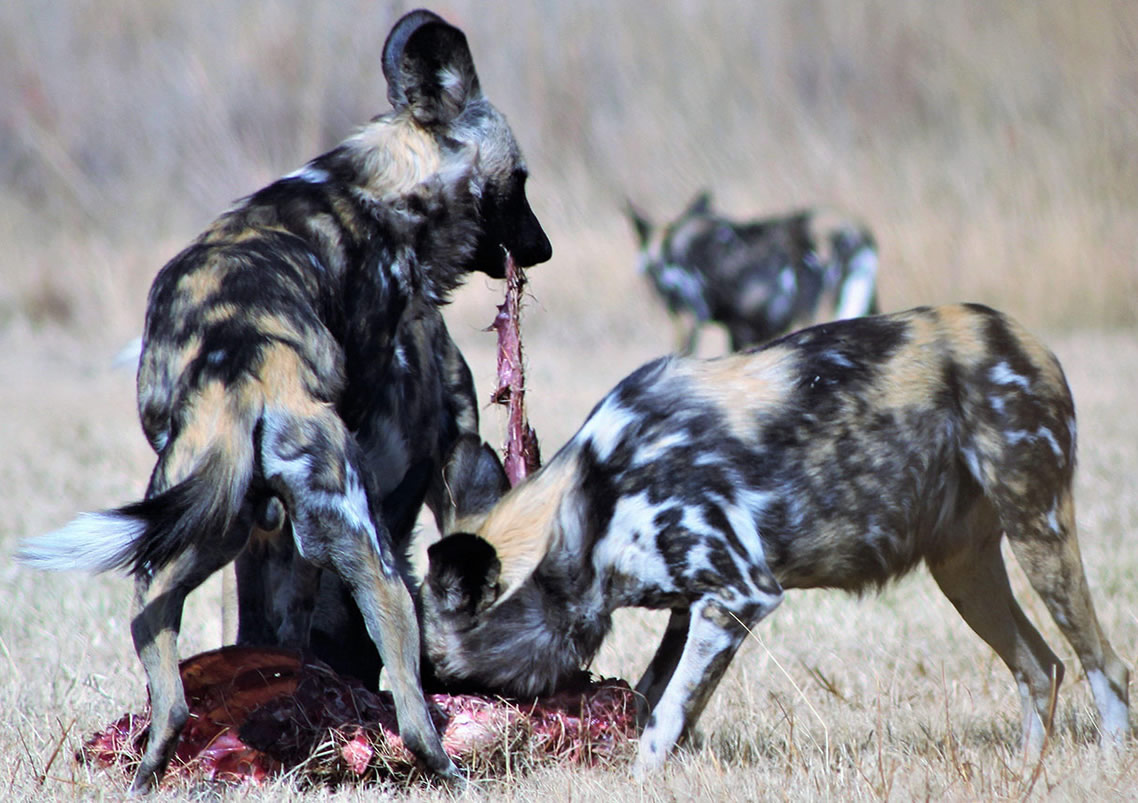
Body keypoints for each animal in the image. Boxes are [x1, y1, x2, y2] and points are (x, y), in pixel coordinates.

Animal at [16, 10, 550, 787]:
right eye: (520, 183)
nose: (540, 249)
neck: (373, 186)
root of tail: (244, 370)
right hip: (366, 552)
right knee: (407, 679)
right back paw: (446, 768)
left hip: (187, 542)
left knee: (167, 687)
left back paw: (152, 769)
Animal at [418, 302, 1128, 773]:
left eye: (432, 665)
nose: (420, 715)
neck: (593, 500)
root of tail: (1023, 338)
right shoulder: (697, 609)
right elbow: (656, 701)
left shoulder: (740, 597)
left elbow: (663, 721)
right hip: (962, 572)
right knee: (1042, 667)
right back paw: (1027, 772)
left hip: (1038, 532)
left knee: (1106, 666)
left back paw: (1113, 761)